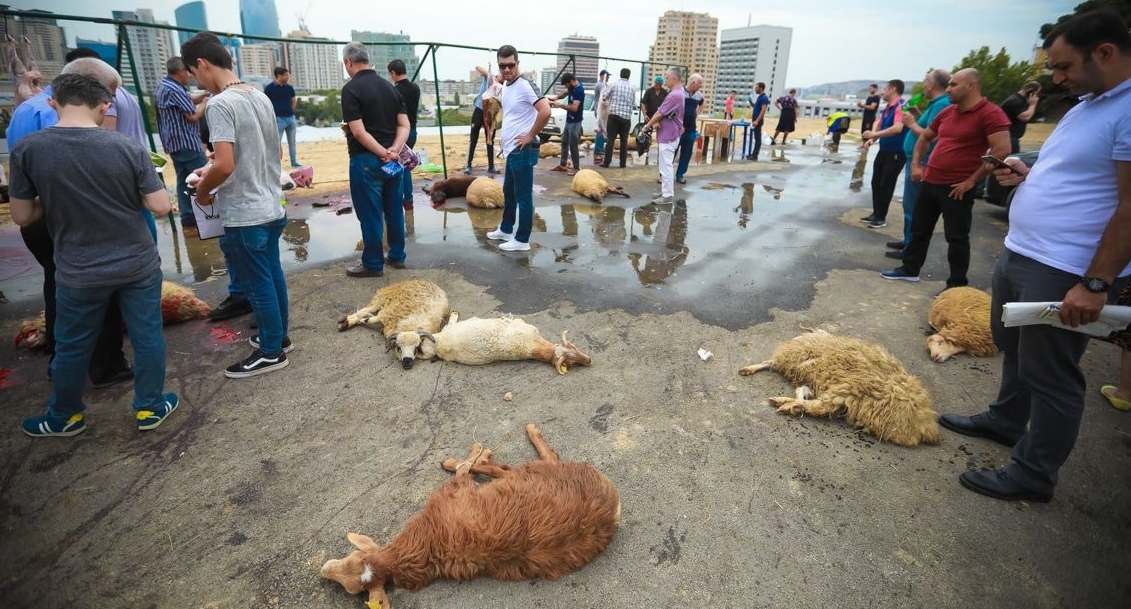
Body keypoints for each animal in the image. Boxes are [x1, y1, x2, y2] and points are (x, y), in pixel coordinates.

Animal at [318, 421, 624, 606]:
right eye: (354, 589)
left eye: (355, 557)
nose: (323, 571)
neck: (422, 548)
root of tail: (612, 506)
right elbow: (466, 468)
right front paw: (477, 453)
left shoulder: (454, 492)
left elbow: (463, 468)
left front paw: (474, 452)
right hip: (536, 475)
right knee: (517, 467)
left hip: (541, 472)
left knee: (539, 460)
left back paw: (522, 434)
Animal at [416, 310, 592, 371]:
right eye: (571, 361)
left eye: (575, 348)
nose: (589, 360)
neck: (533, 348)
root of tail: (440, 346)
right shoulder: (523, 325)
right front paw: (504, 318)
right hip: (451, 329)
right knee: (447, 325)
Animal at [737, 326, 940, 445]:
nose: (799, 336)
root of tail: (926, 425)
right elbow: (800, 387)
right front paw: (748, 369)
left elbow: (770, 362)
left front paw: (748, 368)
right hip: (852, 397)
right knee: (817, 404)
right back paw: (789, 403)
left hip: (852, 389)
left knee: (819, 406)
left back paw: (785, 404)